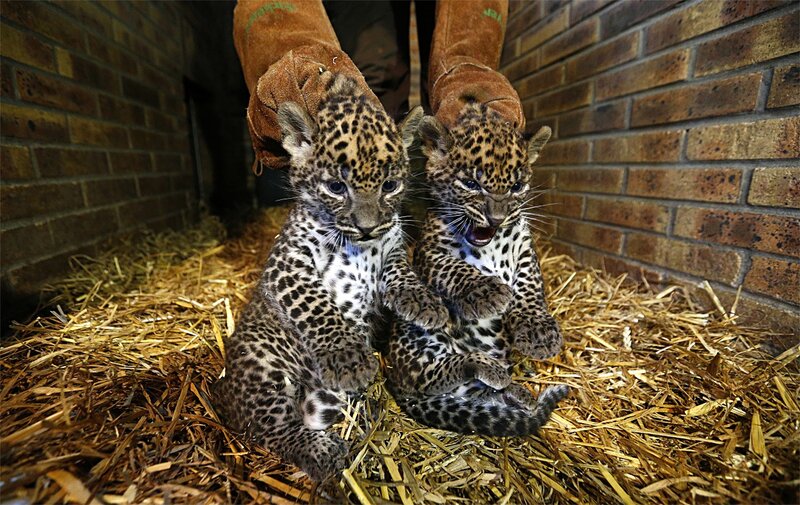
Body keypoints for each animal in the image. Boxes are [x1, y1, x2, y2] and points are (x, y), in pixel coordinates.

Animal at [212, 74, 448, 482]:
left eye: (390, 186)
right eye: (336, 187)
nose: (367, 227)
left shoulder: (392, 251)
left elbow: (401, 271)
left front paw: (424, 301)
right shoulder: (289, 266)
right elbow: (317, 306)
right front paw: (347, 357)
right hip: (262, 369)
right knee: (272, 428)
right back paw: (323, 451)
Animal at [384, 103, 569, 437]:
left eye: (517, 186)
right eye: (471, 184)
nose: (496, 218)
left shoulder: (525, 250)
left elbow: (530, 285)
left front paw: (538, 331)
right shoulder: (430, 252)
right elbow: (455, 268)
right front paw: (488, 292)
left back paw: (514, 390)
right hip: (417, 337)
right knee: (429, 375)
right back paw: (485, 366)